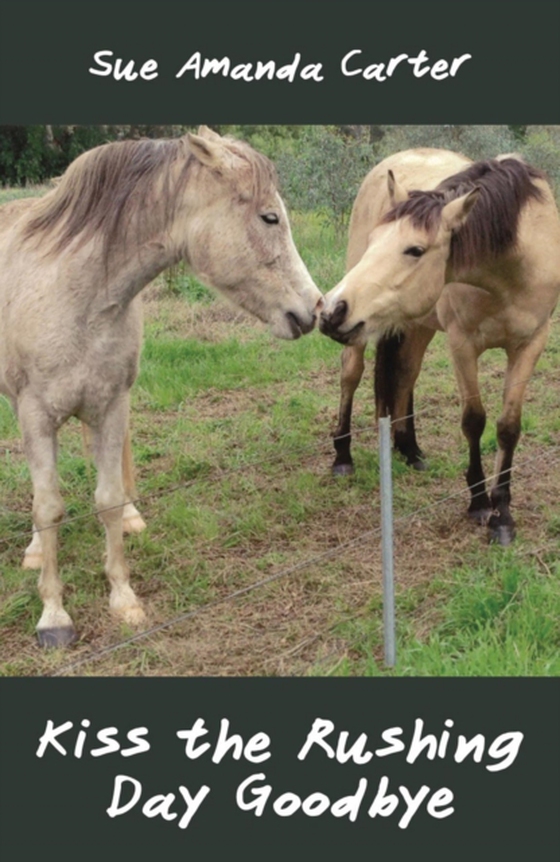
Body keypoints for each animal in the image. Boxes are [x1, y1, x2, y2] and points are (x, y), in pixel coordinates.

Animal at [0, 125, 322, 644]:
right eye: (269, 216)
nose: (314, 309)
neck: (74, 293)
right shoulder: (35, 415)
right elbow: (48, 507)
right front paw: (54, 615)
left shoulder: (110, 405)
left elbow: (108, 500)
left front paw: (123, 597)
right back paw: (32, 551)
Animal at [320, 150, 560, 548]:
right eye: (374, 240)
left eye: (415, 250)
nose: (330, 310)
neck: (511, 267)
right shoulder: (462, 344)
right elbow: (474, 420)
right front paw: (479, 503)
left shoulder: (530, 345)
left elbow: (508, 427)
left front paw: (503, 515)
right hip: (367, 334)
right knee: (351, 374)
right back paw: (343, 456)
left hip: (417, 323)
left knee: (405, 374)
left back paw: (410, 449)